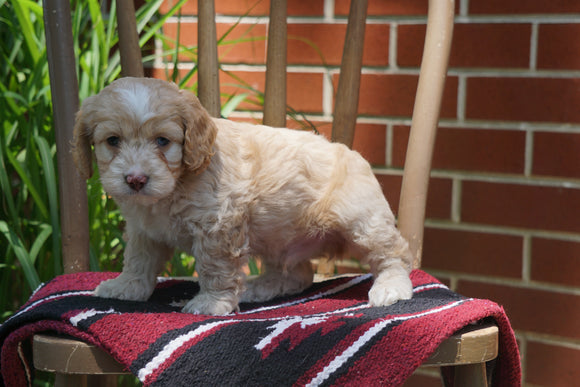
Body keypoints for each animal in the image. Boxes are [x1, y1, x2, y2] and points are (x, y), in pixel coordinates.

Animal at [73, 77, 412, 316]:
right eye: (112, 140)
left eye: (162, 141)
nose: (136, 179)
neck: (175, 185)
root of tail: (357, 156)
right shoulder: (144, 230)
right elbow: (138, 259)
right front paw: (127, 286)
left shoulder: (218, 225)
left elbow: (214, 267)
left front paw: (211, 303)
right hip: (279, 237)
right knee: (298, 274)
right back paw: (259, 287)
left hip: (362, 221)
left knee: (394, 255)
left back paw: (391, 286)